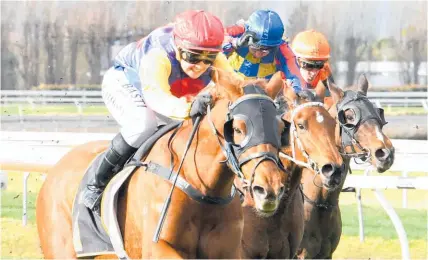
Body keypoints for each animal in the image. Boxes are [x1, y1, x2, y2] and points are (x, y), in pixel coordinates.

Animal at [36, 68, 288, 258]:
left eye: (280, 128)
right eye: (237, 129)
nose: (269, 189)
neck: (202, 188)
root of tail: (56, 168)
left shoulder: (228, 251)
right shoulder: (157, 247)